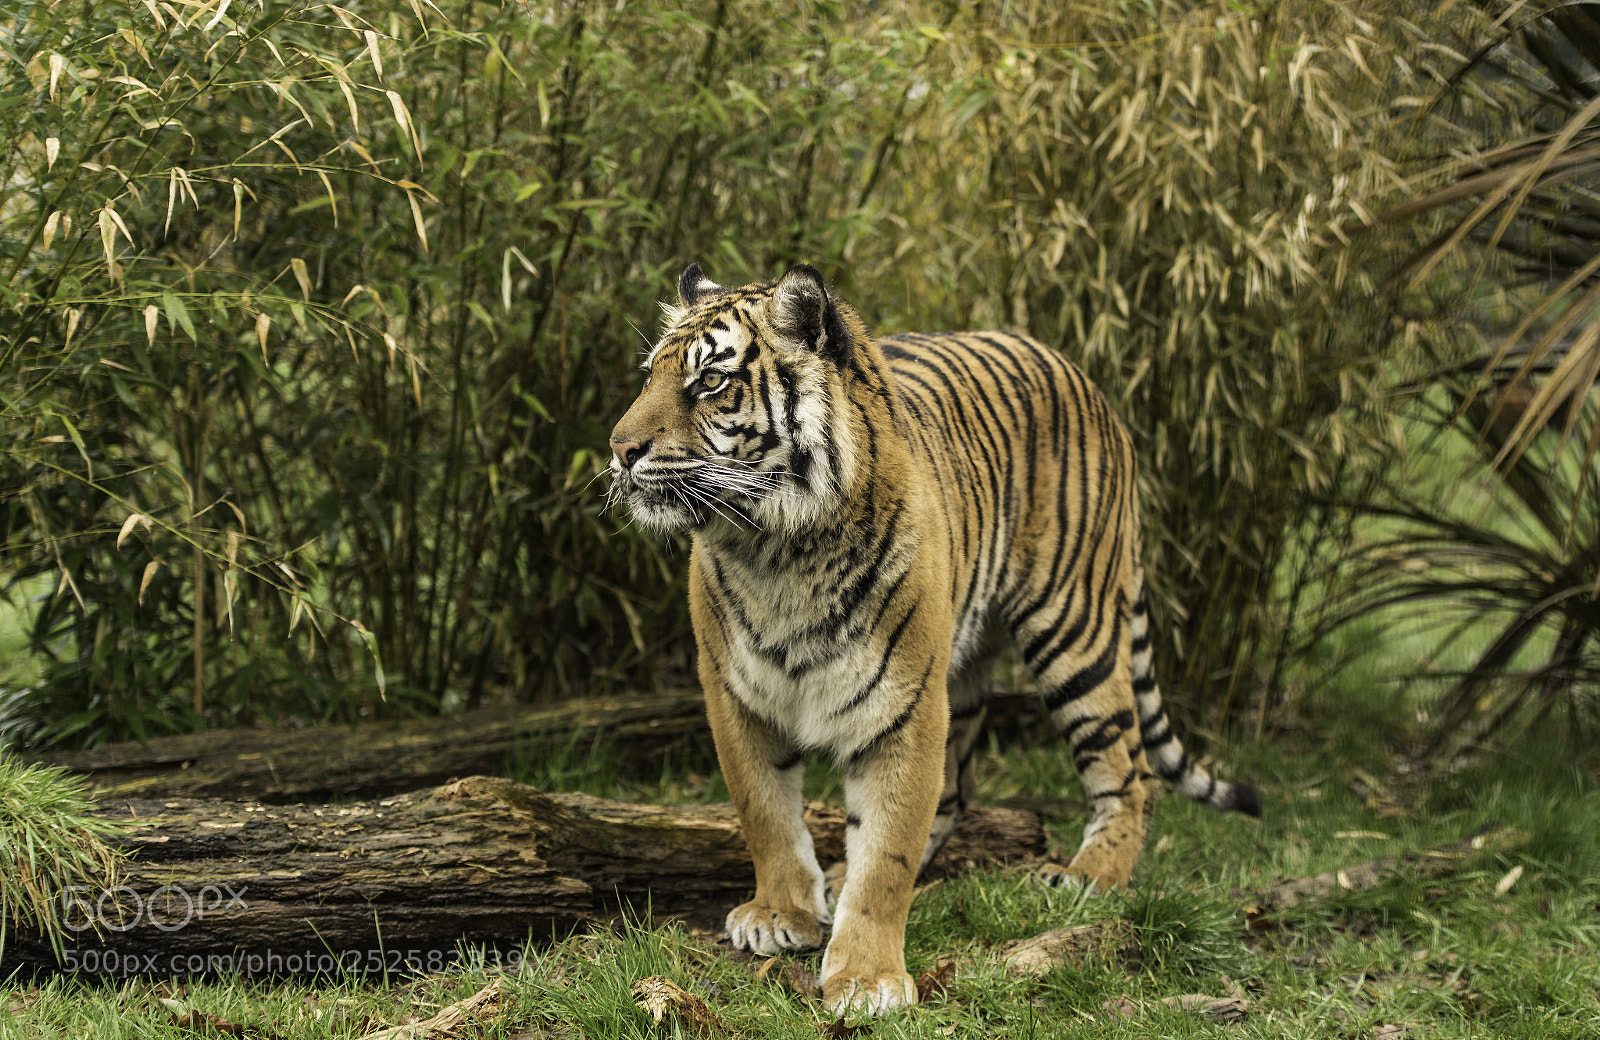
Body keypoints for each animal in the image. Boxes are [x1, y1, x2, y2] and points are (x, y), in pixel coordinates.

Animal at [607, 263, 1260, 1015]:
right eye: (649, 376)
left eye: (710, 381)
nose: (619, 450)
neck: (776, 552)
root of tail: (1083, 374)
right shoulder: (736, 692)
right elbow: (765, 812)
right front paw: (781, 914)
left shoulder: (905, 707)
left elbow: (888, 847)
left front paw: (866, 978)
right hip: (966, 663)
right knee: (956, 792)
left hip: (1075, 630)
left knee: (1131, 768)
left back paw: (1090, 875)